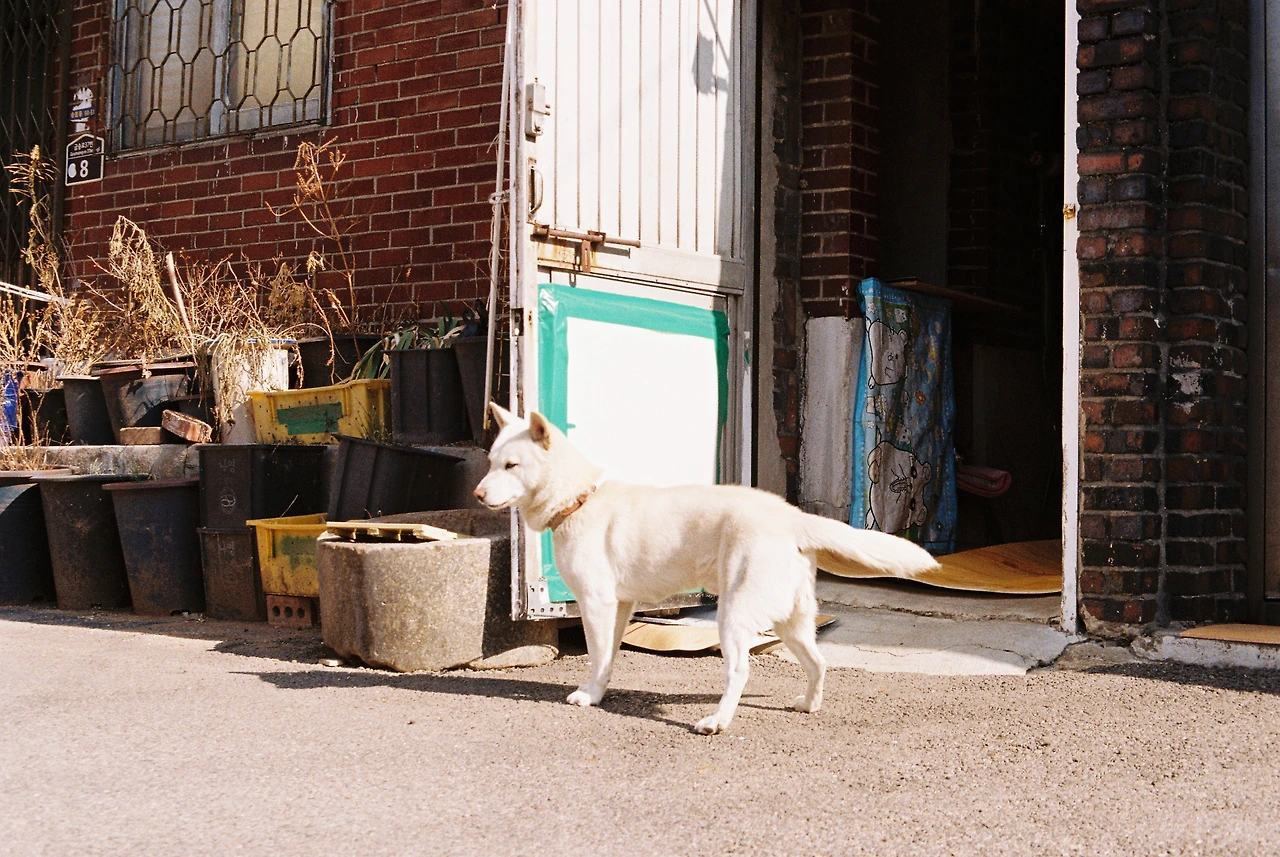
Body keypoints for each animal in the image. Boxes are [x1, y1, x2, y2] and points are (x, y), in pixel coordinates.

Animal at [473, 403, 941, 734]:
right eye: (491, 462)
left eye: (512, 466)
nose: (476, 494)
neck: (579, 498)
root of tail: (791, 516)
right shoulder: (621, 607)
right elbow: (607, 660)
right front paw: (599, 694)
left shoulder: (596, 604)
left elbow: (597, 655)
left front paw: (588, 696)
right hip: (792, 621)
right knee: (818, 662)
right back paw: (808, 704)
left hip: (733, 614)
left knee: (739, 670)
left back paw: (717, 722)